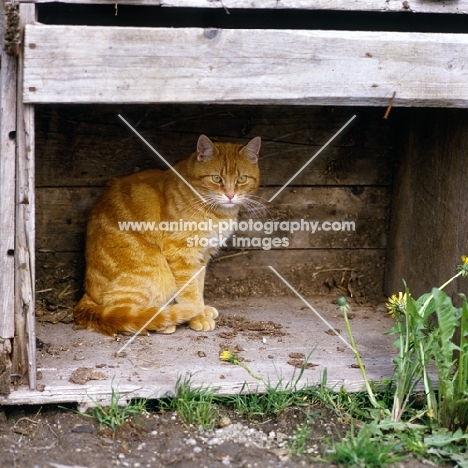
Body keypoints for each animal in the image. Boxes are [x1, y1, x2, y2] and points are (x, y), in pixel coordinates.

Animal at [75, 135, 262, 336]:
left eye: (241, 179)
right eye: (216, 178)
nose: (230, 195)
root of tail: (87, 294)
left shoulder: (202, 256)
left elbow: (198, 286)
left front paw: (202, 310)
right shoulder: (181, 254)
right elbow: (190, 292)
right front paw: (197, 316)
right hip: (157, 272)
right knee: (122, 312)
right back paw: (164, 320)